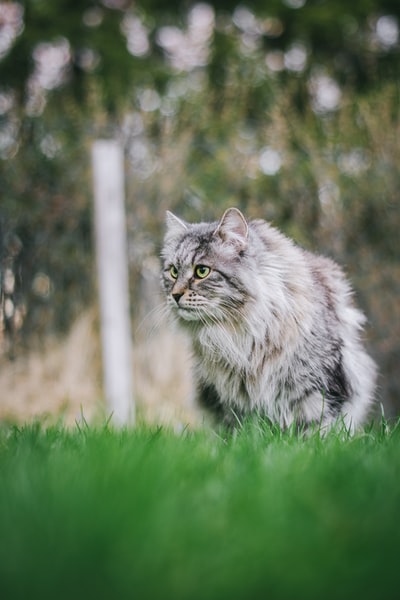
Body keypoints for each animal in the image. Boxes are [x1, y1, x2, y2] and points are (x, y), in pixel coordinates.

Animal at [160, 206, 378, 432]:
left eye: (202, 271)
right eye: (173, 271)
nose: (175, 295)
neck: (242, 334)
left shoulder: (320, 386)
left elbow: (315, 430)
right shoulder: (231, 398)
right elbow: (243, 431)